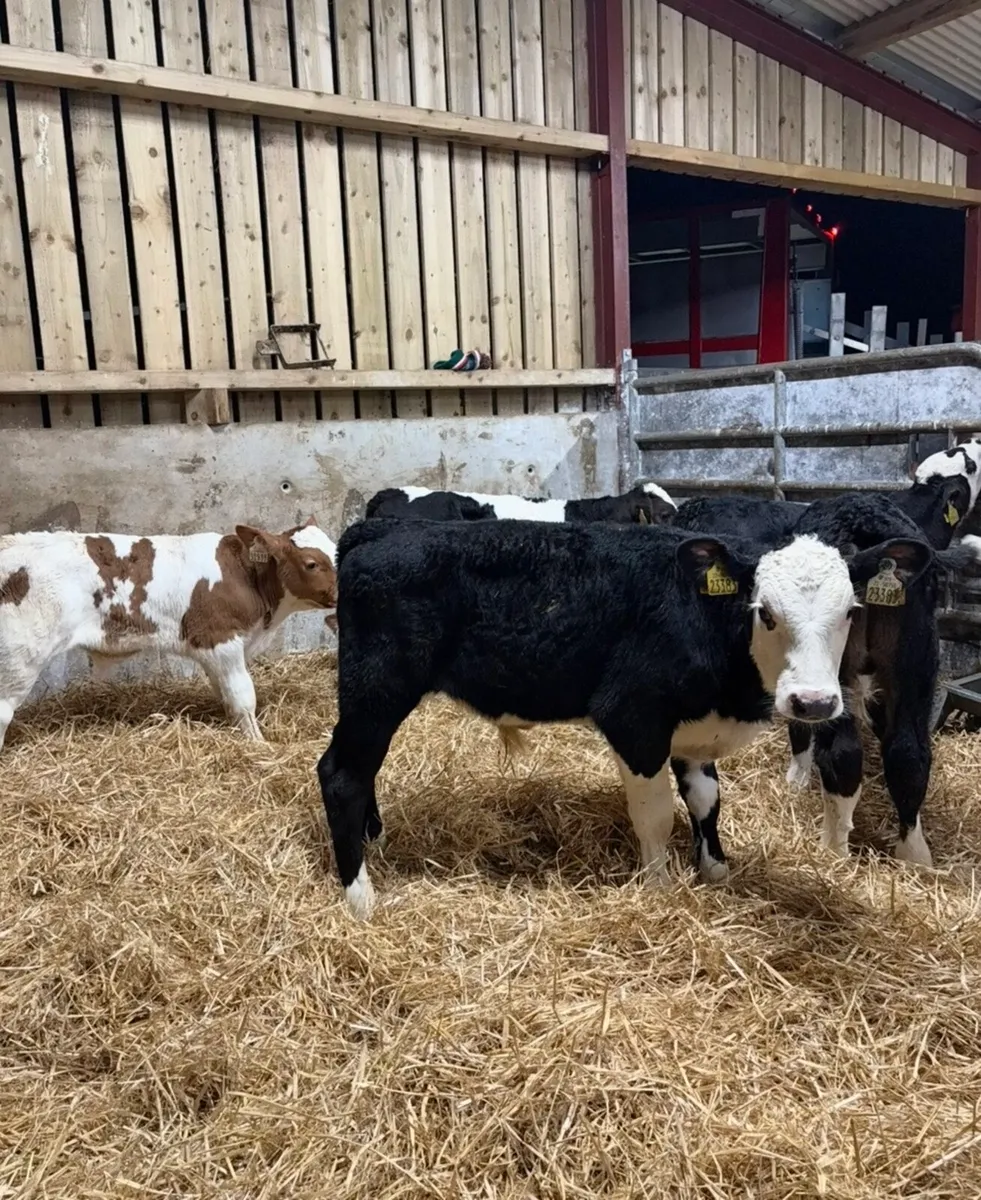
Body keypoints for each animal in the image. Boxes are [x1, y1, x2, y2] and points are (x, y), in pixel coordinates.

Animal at [0, 517, 338, 748]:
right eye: (311, 563)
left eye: (337, 548)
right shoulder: (223, 641)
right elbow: (243, 698)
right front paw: (258, 744)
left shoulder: (211, 651)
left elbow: (226, 696)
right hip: (22, 654)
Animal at [315, 514, 930, 919]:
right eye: (766, 613)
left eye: (850, 611)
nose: (814, 703)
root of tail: (380, 530)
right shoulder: (634, 718)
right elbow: (654, 814)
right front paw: (659, 890)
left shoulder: (691, 733)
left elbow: (706, 801)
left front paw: (715, 871)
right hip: (377, 686)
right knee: (341, 774)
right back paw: (360, 897)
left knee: (361, 773)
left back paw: (375, 841)